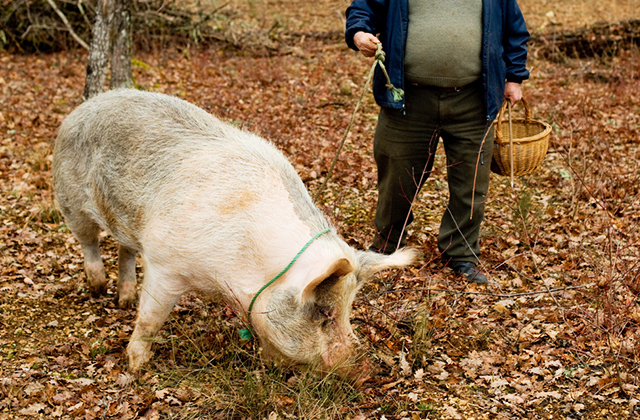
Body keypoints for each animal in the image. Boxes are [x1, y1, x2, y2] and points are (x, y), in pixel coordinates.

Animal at [52, 89, 418, 374]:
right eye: (324, 312)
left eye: (349, 310)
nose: (365, 372)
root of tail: (86, 105)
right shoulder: (165, 263)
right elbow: (150, 319)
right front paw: (136, 368)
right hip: (70, 200)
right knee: (89, 243)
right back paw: (98, 288)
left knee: (124, 249)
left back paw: (124, 299)